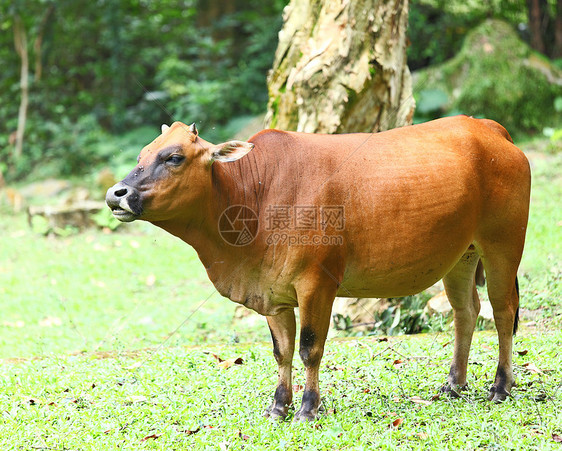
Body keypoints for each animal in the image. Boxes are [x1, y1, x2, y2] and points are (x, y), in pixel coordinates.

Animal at [106, 117, 528, 424]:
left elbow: (310, 348)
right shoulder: (273, 295)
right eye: (143, 154)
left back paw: (501, 386)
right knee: (466, 312)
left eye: (174, 157)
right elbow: (282, 351)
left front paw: (308, 408)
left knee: (503, 312)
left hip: (502, 245)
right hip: (462, 255)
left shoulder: (316, 284)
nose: (115, 194)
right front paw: (278, 406)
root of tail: (491, 128)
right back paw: (454, 384)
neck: (255, 195)